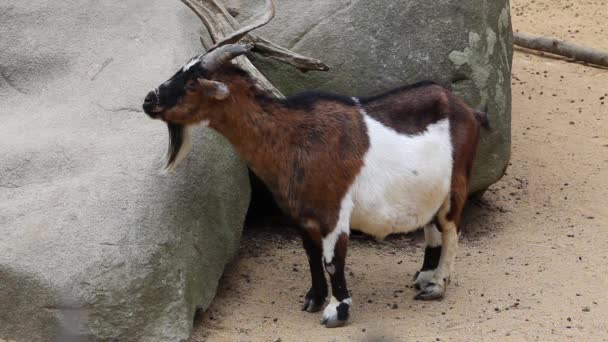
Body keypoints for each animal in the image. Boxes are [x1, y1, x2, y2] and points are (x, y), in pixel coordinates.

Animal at [140, 12, 486, 328]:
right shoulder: (301, 214)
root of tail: (468, 110)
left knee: (451, 231)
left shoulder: (334, 211)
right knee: (432, 230)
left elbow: (333, 260)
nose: (148, 100)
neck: (294, 136)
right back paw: (423, 276)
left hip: (456, 186)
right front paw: (314, 299)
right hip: (427, 192)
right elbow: (310, 254)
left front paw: (337, 311)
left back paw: (437, 286)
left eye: (191, 82)